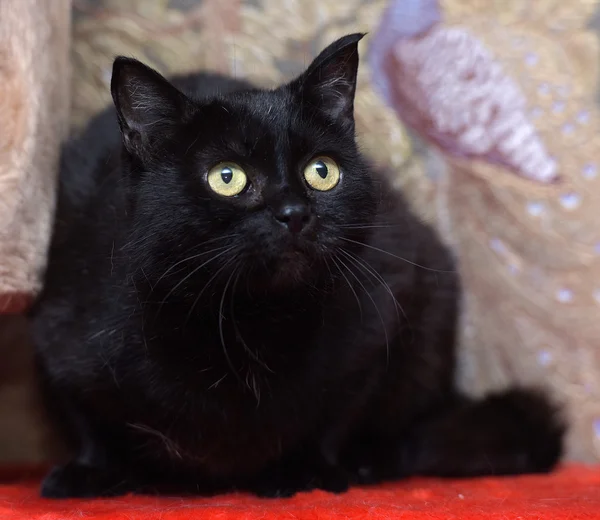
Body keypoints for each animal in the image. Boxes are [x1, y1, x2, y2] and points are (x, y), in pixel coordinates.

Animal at [29, 33, 564, 500]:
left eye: (321, 171)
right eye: (226, 177)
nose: (294, 213)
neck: (247, 327)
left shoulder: (382, 314)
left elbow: (335, 415)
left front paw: (306, 470)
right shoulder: (61, 328)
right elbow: (88, 421)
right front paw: (90, 472)